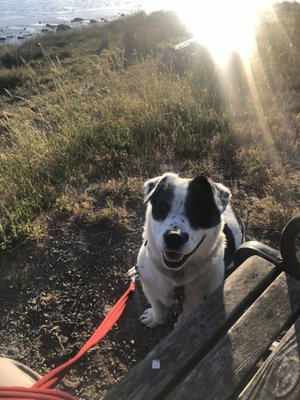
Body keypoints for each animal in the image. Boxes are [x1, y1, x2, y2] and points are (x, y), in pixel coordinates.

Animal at [135, 173, 245, 326]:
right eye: (162, 207)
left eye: (199, 210)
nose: (174, 237)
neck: (175, 277)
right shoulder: (150, 290)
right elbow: (158, 309)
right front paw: (154, 319)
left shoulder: (194, 306)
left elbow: (183, 319)